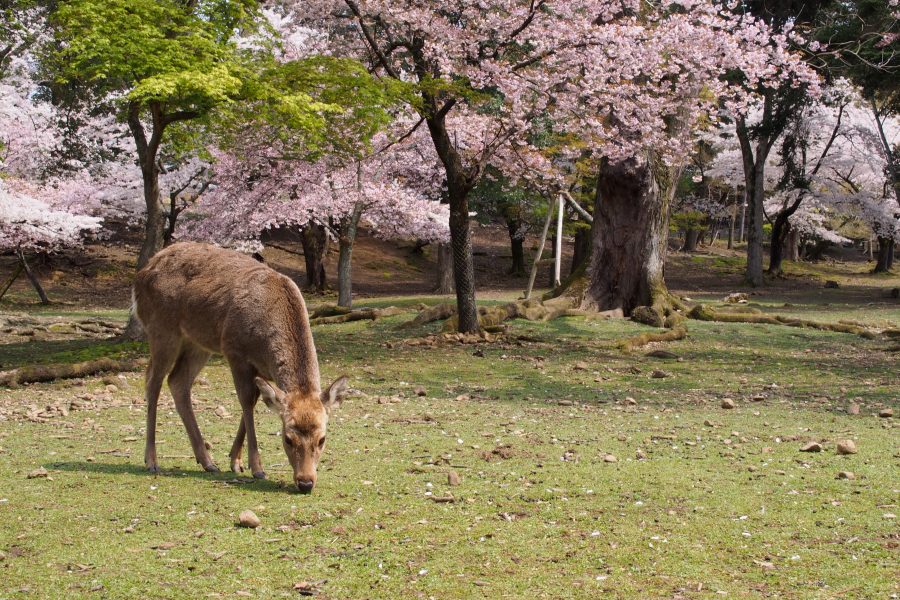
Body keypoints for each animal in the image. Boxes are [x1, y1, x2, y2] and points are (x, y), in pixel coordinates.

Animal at [132, 241, 350, 494]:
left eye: (322, 439)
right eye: (287, 438)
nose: (305, 482)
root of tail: (141, 275)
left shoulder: (258, 370)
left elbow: (254, 401)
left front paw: (235, 461)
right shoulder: (234, 351)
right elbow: (246, 402)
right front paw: (256, 467)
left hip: (198, 343)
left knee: (178, 381)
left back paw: (207, 461)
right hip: (162, 329)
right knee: (153, 381)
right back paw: (151, 460)